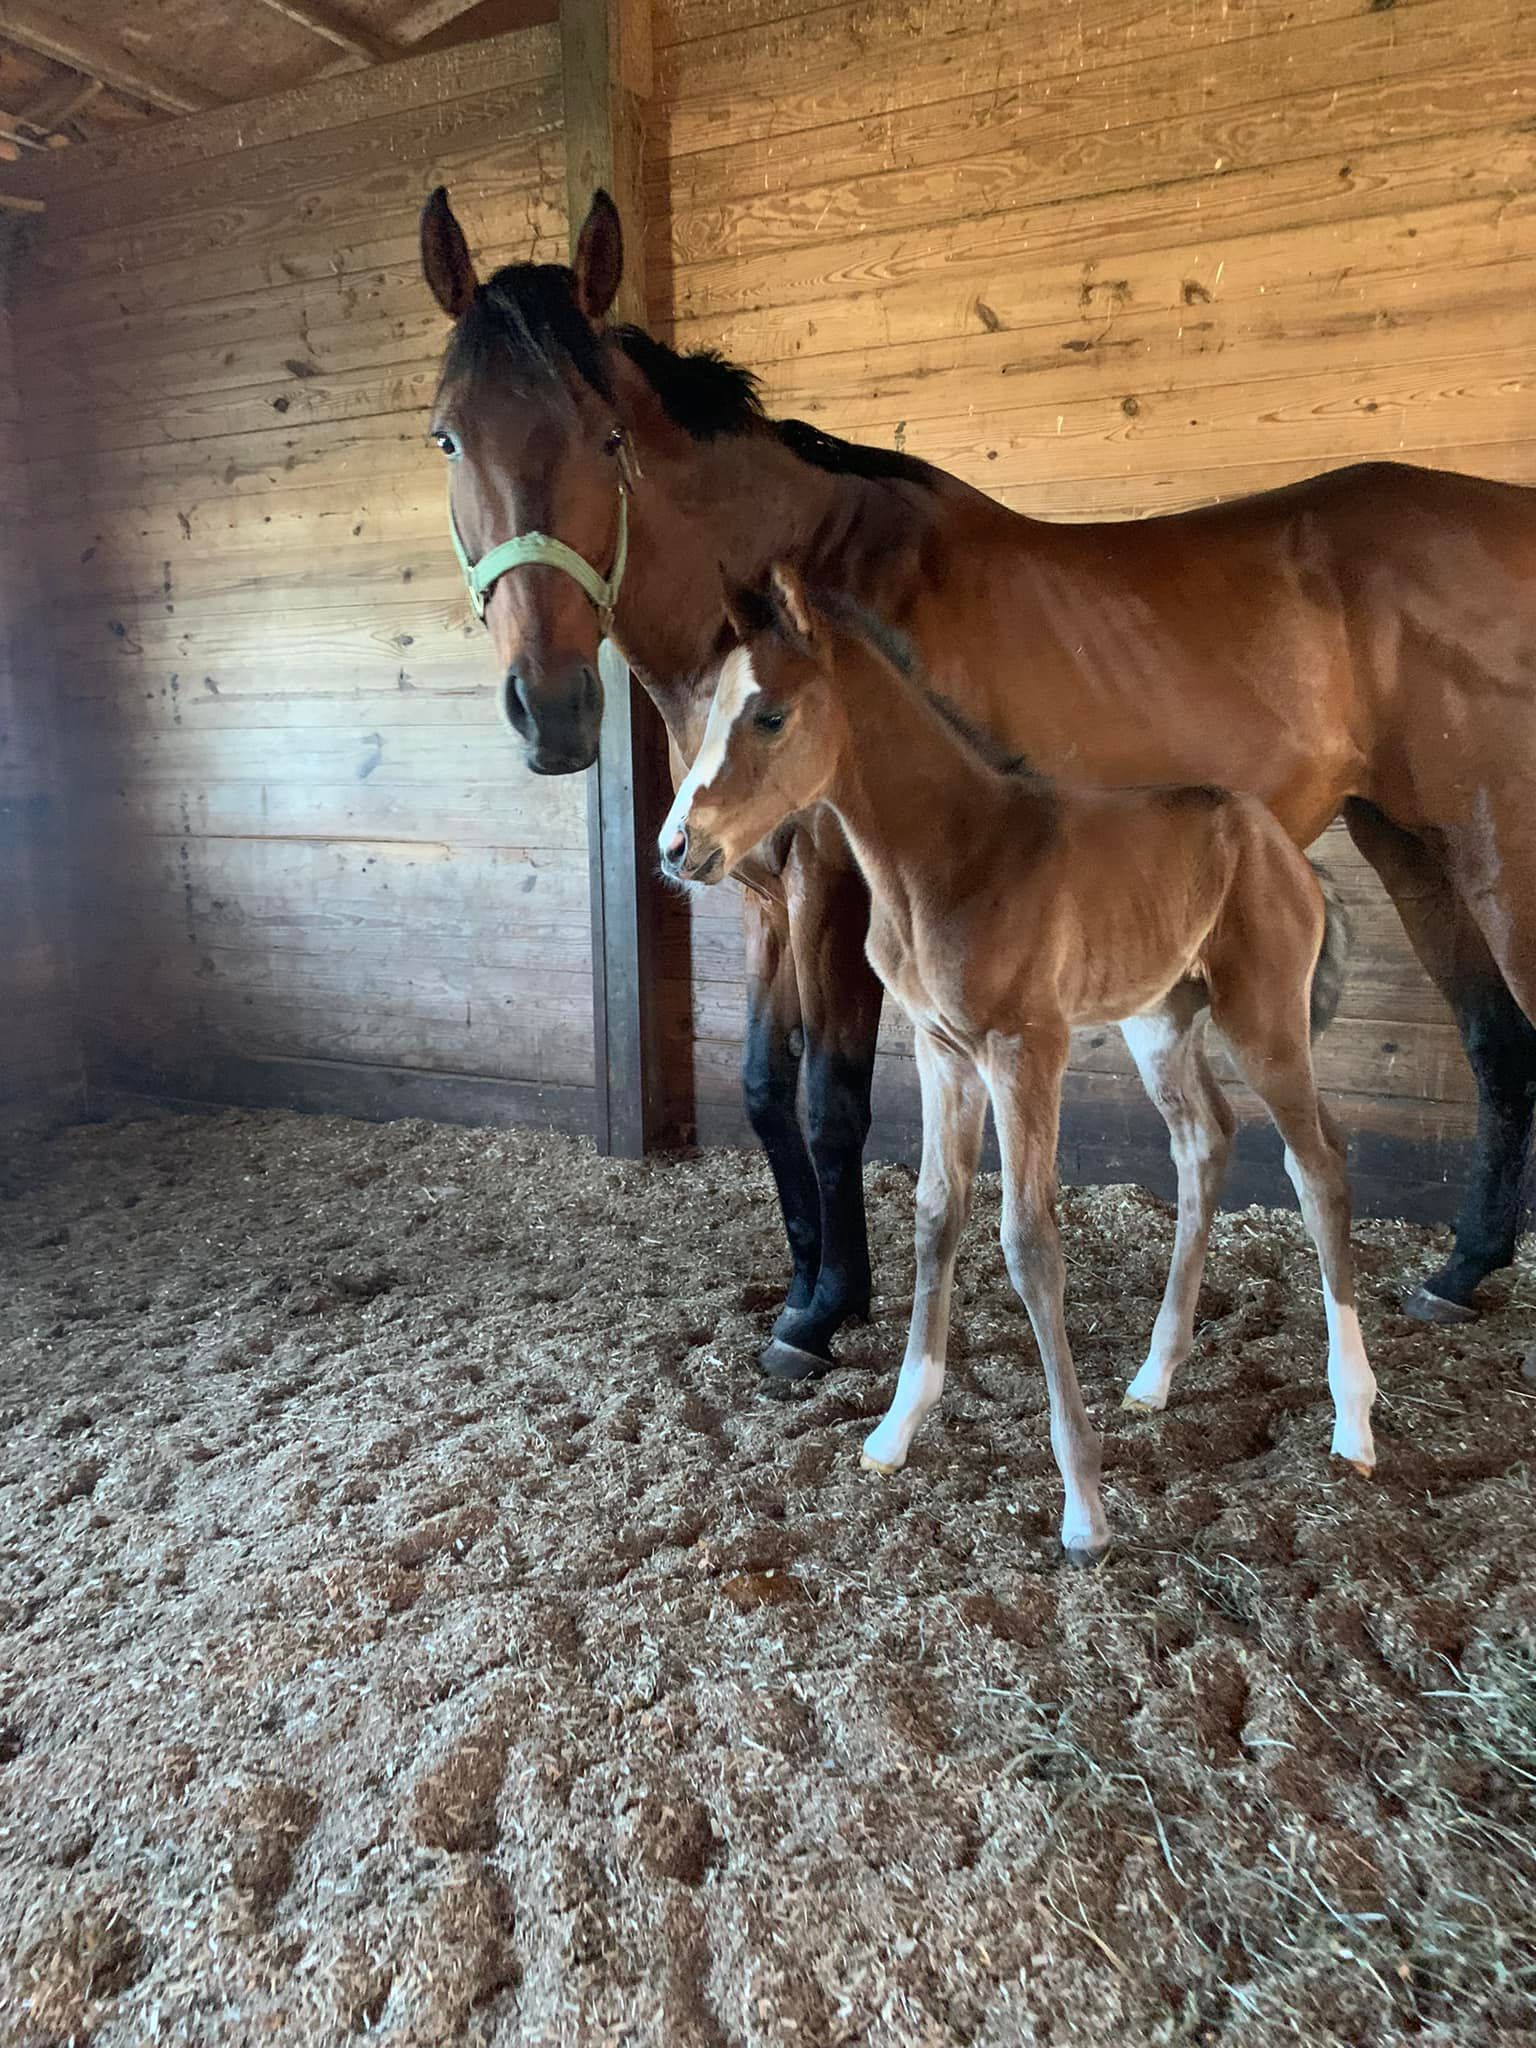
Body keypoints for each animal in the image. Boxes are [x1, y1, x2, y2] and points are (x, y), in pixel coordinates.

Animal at [421, 184, 1536, 1382]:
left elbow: (830, 1097)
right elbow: (766, 1088)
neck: (818, 590)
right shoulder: (765, 890)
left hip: (1498, 854)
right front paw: (811, 1286)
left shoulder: (837, 887)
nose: (553, 708)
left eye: (610, 437)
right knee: (1497, 1043)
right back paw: (1459, 1272)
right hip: (1413, 849)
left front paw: (821, 1315)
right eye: (448, 436)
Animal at [658, 564, 1377, 1560]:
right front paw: (895, 1430)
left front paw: (1084, 1505)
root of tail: (1283, 850)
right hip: (1161, 1019)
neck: (951, 858)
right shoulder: (942, 1050)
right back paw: (1155, 1376)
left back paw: (1355, 1420)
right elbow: (936, 1216)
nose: (677, 847)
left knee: (1320, 1166)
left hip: (1264, 1016)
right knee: (1206, 1140)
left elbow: (1029, 1241)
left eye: (768, 716)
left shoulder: (1025, 1047)